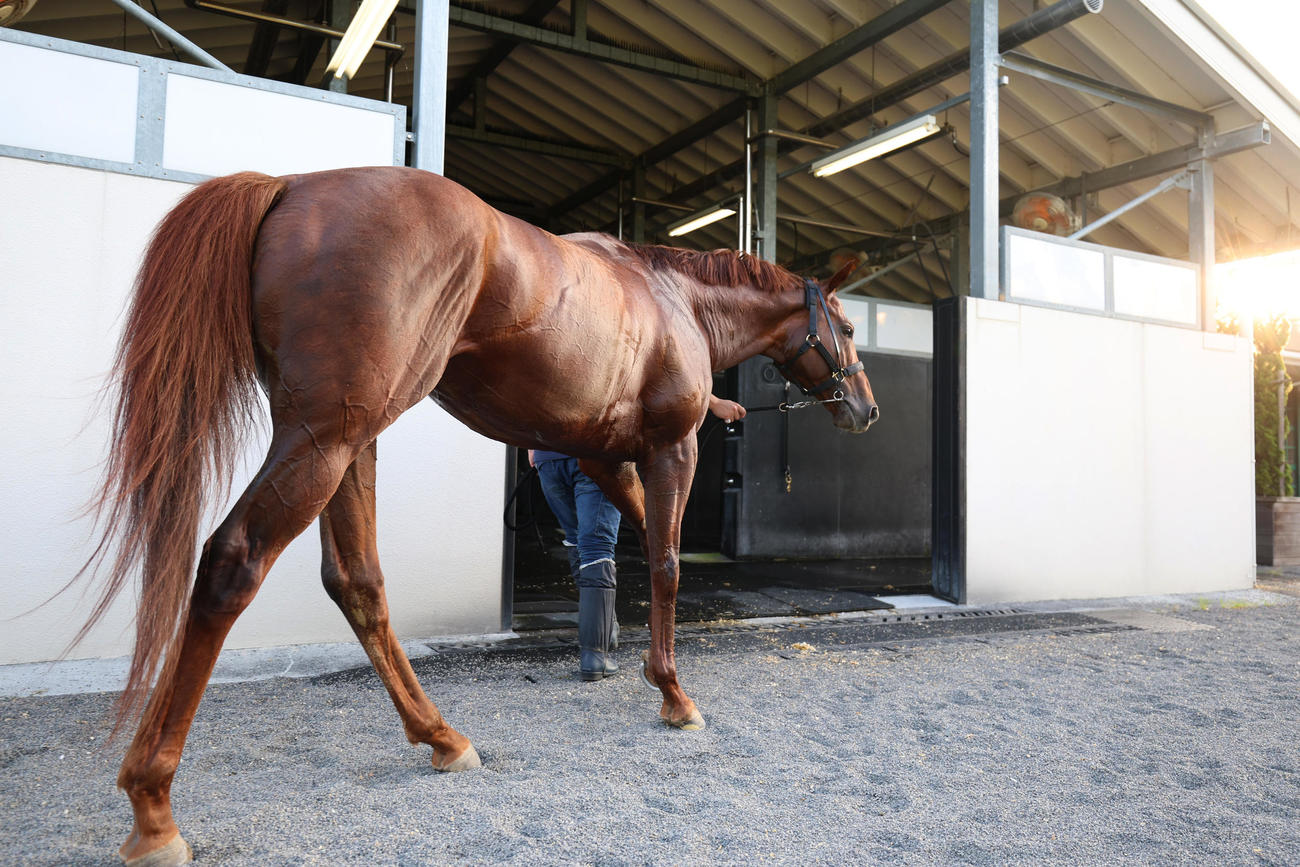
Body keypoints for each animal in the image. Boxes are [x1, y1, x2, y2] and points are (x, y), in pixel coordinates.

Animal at [81, 166, 879, 865]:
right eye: (844, 325)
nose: (866, 408)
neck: (672, 299)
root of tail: (292, 185)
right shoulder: (669, 449)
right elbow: (667, 563)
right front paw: (675, 695)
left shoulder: (603, 460)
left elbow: (642, 550)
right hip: (325, 438)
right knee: (232, 560)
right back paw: (154, 810)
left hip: (347, 442)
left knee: (357, 582)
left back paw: (443, 737)